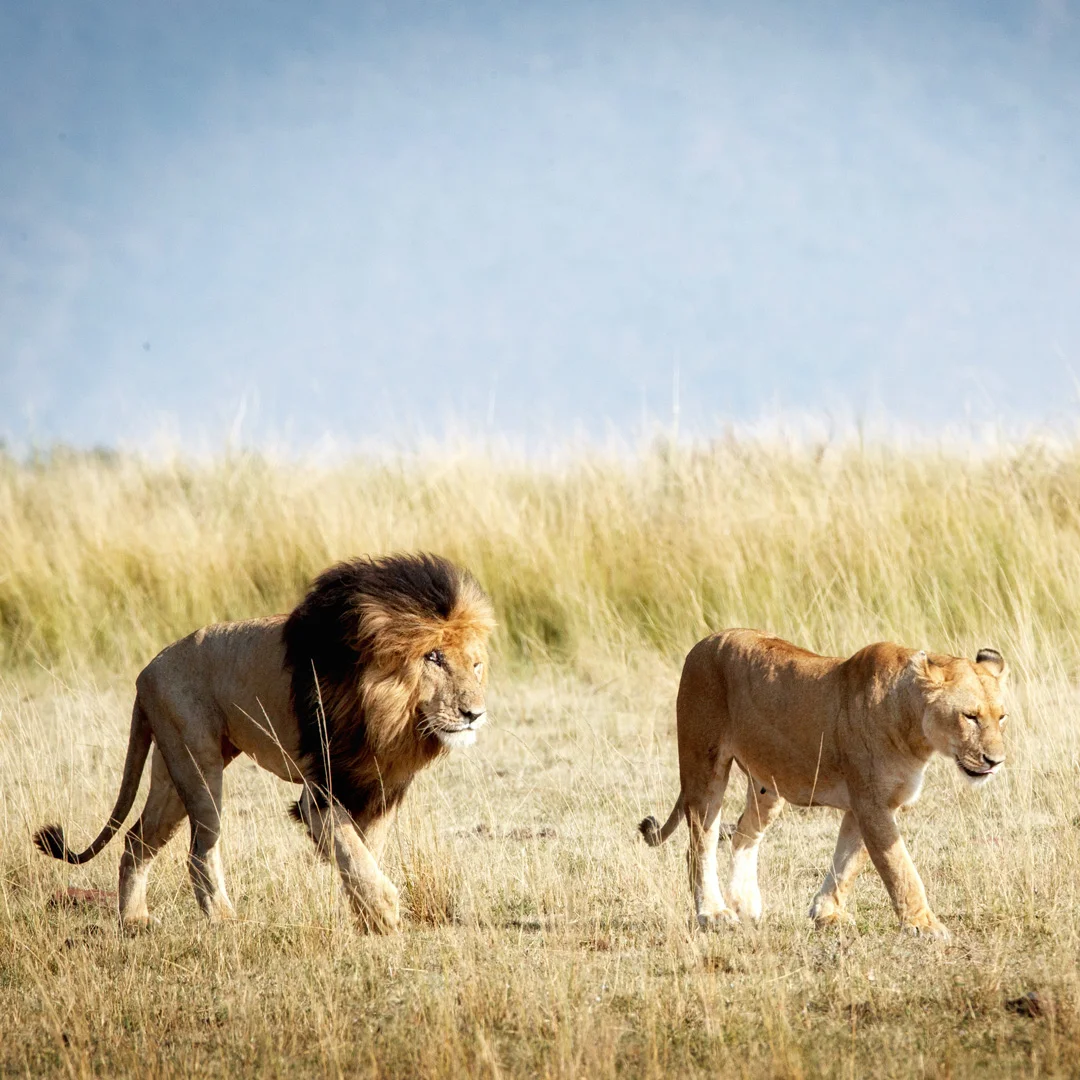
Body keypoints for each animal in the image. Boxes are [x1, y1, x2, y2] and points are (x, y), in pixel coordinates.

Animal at [34, 552, 495, 934]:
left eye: (475, 665)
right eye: (434, 657)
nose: (474, 714)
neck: (390, 714)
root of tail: (146, 671)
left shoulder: (381, 785)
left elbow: (365, 850)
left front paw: (365, 917)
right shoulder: (320, 792)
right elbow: (352, 850)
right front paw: (383, 913)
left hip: (171, 771)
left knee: (135, 841)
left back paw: (134, 920)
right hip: (199, 766)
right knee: (199, 851)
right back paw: (224, 920)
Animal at [639, 630, 1008, 940]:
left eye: (1001, 717)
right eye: (970, 716)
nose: (996, 761)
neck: (914, 727)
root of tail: (707, 640)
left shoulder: (869, 805)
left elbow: (848, 862)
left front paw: (827, 913)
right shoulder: (871, 802)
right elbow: (899, 867)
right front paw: (925, 925)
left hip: (768, 784)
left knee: (744, 834)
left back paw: (746, 905)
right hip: (704, 763)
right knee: (700, 843)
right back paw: (714, 913)